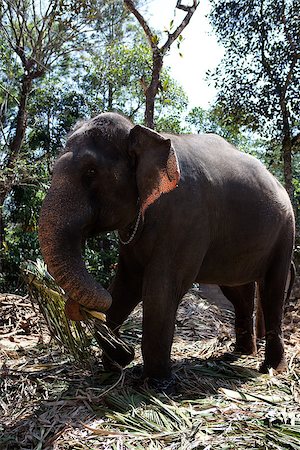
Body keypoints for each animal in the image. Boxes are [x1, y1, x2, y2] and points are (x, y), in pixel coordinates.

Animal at [38, 112, 296, 384]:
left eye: (90, 171)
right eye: (52, 170)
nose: (76, 307)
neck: (144, 133)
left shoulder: (186, 218)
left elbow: (161, 289)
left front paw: (156, 383)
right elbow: (125, 285)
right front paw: (115, 365)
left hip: (285, 231)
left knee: (272, 288)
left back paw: (271, 367)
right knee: (237, 290)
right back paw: (239, 354)